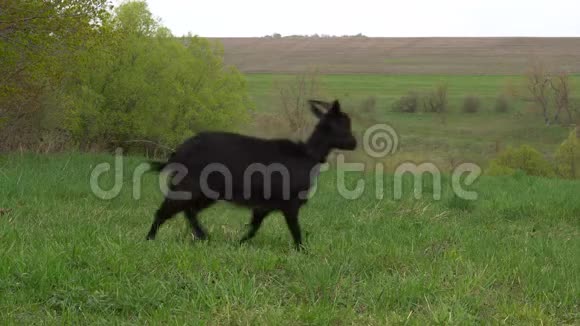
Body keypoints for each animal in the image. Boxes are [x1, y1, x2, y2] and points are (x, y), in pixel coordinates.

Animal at [146, 99, 354, 250]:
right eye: (344, 123)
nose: (354, 143)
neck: (307, 155)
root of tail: (177, 153)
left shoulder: (265, 205)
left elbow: (254, 227)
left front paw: (238, 244)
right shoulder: (290, 204)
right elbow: (295, 230)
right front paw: (302, 250)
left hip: (205, 193)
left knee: (189, 211)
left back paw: (203, 236)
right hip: (189, 186)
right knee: (165, 211)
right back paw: (150, 239)